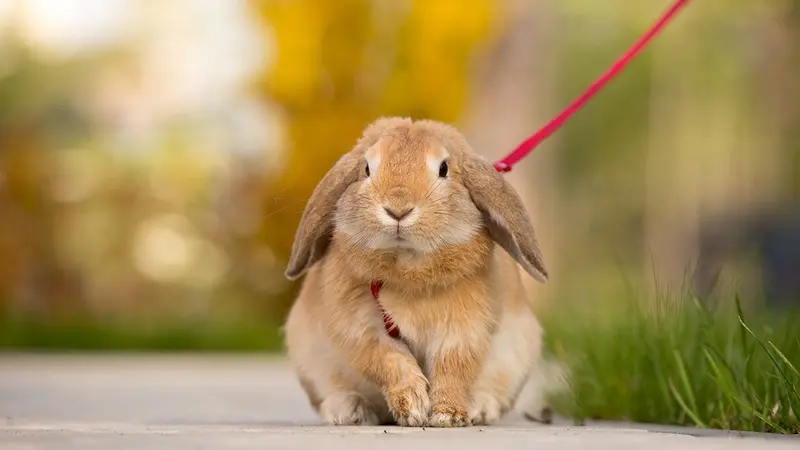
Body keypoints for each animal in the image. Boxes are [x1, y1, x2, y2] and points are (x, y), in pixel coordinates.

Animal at [282, 116, 553, 427]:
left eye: (443, 168)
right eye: (367, 169)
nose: (398, 209)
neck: (407, 268)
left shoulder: (462, 330)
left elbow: (453, 368)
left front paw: (448, 415)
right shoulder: (363, 329)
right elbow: (390, 362)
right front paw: (412, 406)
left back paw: (478, 408)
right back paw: (351, 411)